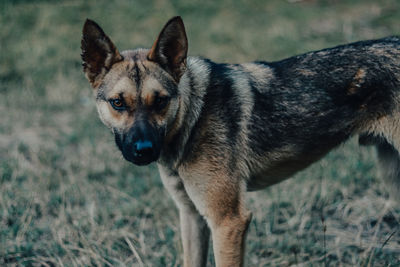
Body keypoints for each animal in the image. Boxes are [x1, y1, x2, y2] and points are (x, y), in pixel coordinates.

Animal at [80, 16, 400, 267]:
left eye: (160, 101)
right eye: (118, 103)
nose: (143, 150)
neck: (193, 116)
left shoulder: (228, 221)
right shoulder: (192, 216)